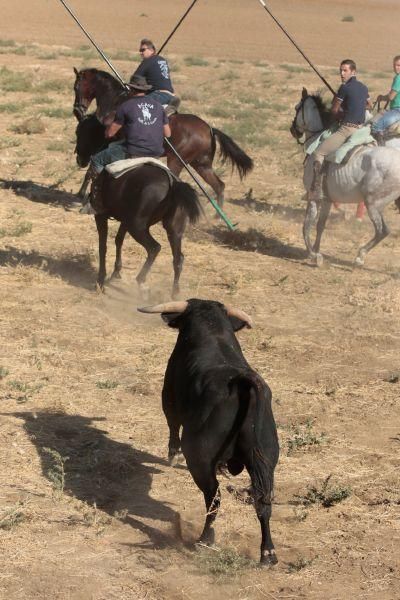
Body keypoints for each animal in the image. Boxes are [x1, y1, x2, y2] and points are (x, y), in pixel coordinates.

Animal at [72, 67, 253, 205]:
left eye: (76, 87)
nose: (77, 111)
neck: (115, 101)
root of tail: (209, 129)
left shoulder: (111, 143)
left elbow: (93, 170)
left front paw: (81, 195)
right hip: (201, 164)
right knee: (219, 186)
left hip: (176, 161)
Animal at [92, 164, 202, 298]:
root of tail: (173, 184)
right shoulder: (125, 220)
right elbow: (119, 240)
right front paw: (116, 273)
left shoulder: (100, 215)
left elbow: (103, 247)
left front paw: (100, 281)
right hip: (174, 231)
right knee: (178, 258)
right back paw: (175, 293)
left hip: (136, 227)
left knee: (154, 248)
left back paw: (142, 283)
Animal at [290, 88, 400, 266]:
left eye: (296, 108)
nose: (293, 130)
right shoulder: (327, 199)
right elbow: (320, 225)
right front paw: (316, 250)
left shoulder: (314, 197)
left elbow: (306, 225)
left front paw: (313, 255)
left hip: (373, 204)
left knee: (382, 230)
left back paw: (360, 256)